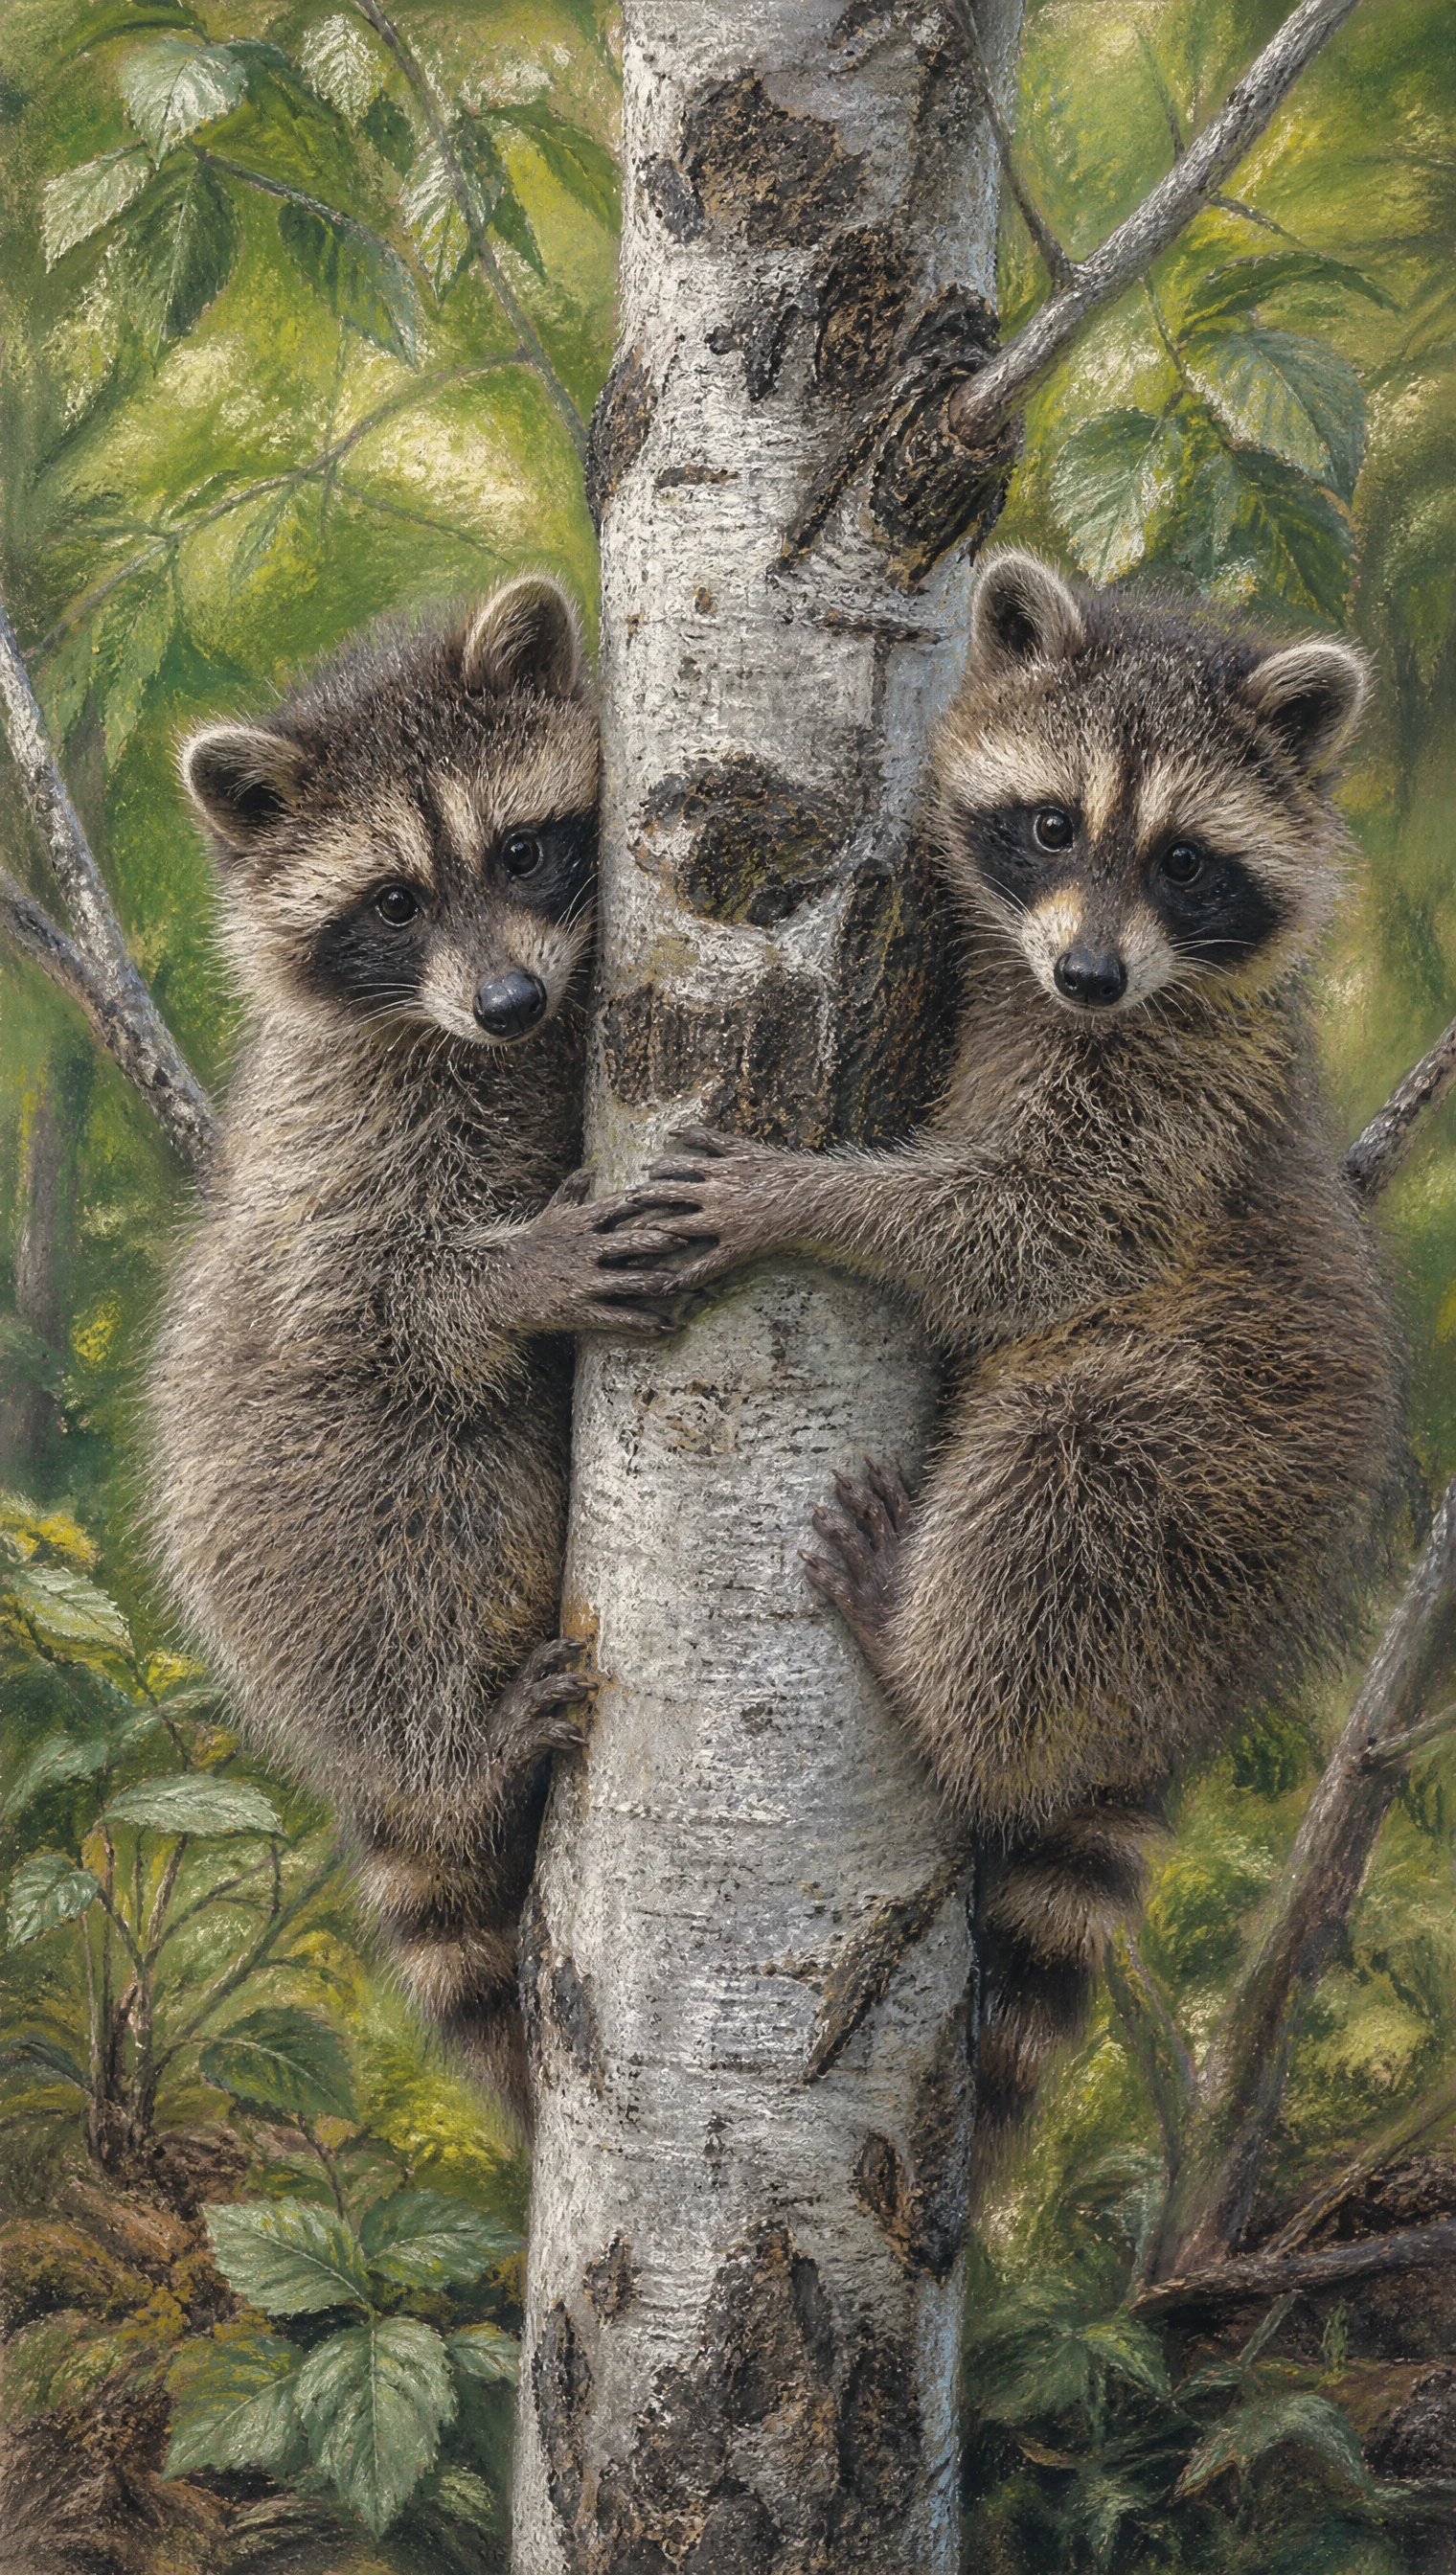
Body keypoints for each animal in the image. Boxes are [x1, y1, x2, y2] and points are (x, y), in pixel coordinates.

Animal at [150, 579, 682, 2127]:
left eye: (519, 851)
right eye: (392, 901)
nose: (507, 1004)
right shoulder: (342, 1138)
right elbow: (364, 1297)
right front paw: (511, 1279)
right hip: (295, 1513)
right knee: (425, 1512)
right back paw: (456, 1757)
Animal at [627, 550, 1403, 2184]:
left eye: (1185, 862)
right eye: (1052, 826)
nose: (1094, 972)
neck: (1073, 1004)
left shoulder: (1169, 1106)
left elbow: (1033, 1235)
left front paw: (812, 1198)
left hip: (1215, 1457)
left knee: (1066, 1471)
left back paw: (932, 1684)